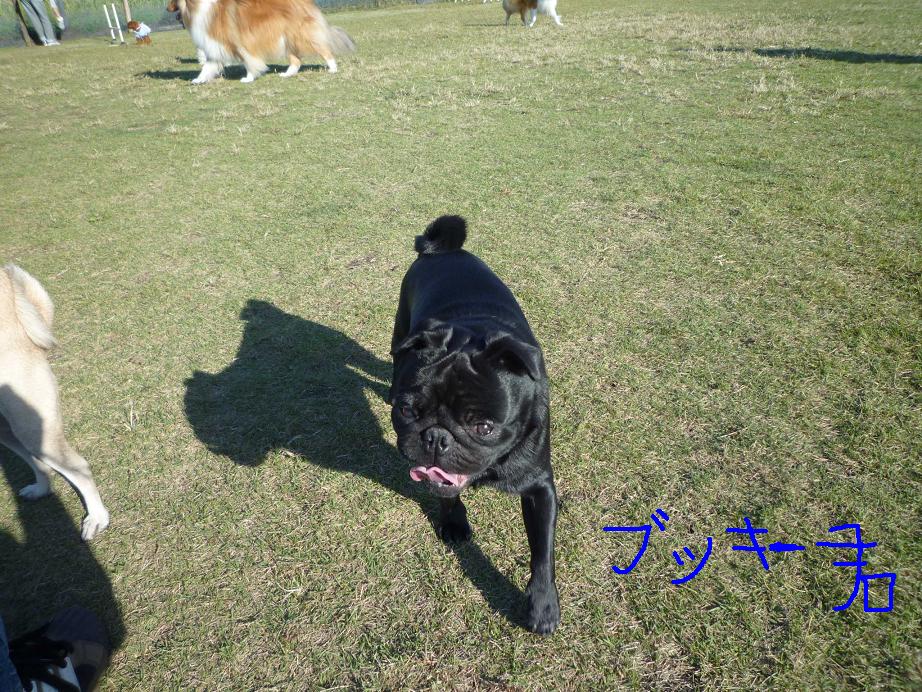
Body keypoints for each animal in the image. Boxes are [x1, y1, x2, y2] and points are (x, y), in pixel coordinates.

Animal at [0, 265, 109, 541]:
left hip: (29, 422)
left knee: (79, 467)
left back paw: (97, 518)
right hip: (10, 429)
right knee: (39, 462)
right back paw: (41, 489)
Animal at [166, 0, 355, 84]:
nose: (166, 8)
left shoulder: (240, 43)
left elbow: (249, 62)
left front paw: (249, 78)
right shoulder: (214, 46)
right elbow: (207, 66)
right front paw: (198, 80)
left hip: (299, 36)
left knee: (325, 50)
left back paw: (332, 68)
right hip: (285, 40)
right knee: (296, 61)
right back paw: (287, 74)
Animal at [389, 216, 560, 634]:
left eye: (484, 427)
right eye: (408, 411)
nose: (436, 437)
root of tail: (442, 251)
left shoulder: (540, 487)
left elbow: (542, 552)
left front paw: (542, 605)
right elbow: (446, 493)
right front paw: (453, 523)